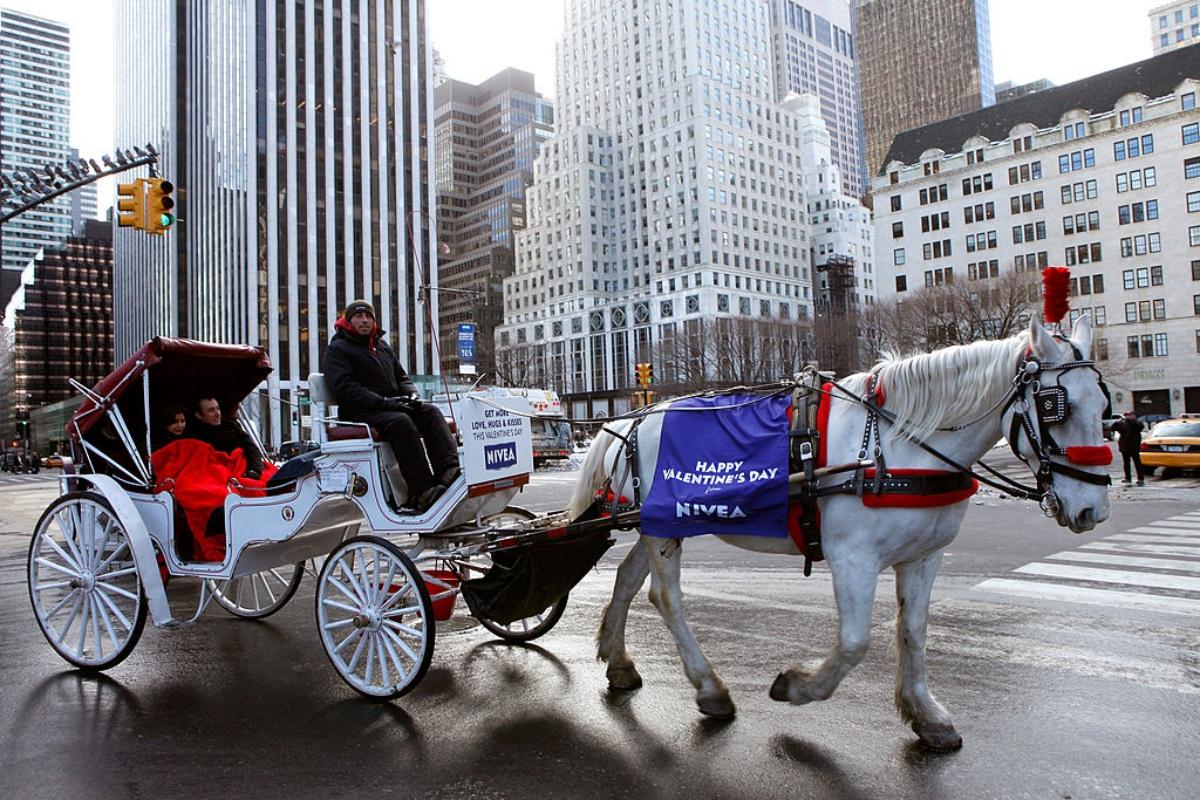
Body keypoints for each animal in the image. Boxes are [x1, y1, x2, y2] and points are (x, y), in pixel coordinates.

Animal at [566, 316, 1108, 753]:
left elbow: (912, 633)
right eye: (1055, 406)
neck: (897, 444)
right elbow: (854, 642)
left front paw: (926, 714)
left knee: (628, 580)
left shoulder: (923, 557)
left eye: (1104, 403)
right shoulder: (853, 558)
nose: (1094, 510)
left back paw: (619, 662)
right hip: (662, 529)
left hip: (652, 523)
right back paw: (710, 688)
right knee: (666, 597)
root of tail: (632, 418)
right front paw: (798, 687)